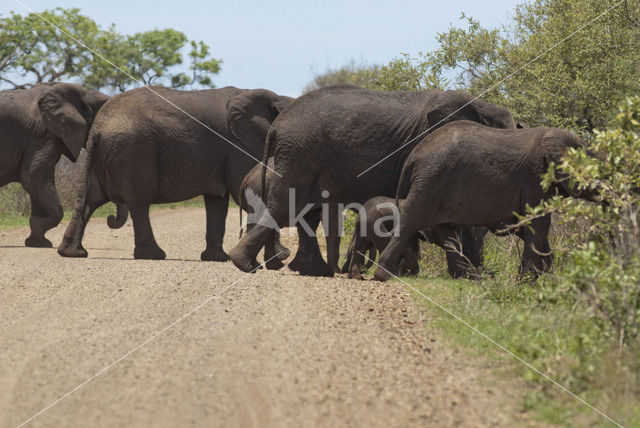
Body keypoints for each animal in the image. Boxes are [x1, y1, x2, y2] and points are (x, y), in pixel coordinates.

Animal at [57, 85, 292, 260]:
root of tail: (99, 126)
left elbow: (217, 201)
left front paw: (217, 259)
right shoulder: (238, 147)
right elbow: (249, 194)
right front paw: (280, 256)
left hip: (103, 154)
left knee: (90, 199)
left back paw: (72, 253)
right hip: (133, 150)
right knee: (138, 201)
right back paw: (152, 255)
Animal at [230, 85, 516, 276]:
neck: (481, 105)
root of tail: (277, 125)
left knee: (305, 211)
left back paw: (315, 270)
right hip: (300, 152)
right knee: (286, 205)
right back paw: (246, 265)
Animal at [376, 120, 600, 280]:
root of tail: (413, 155)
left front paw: (544, 275)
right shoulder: (536, 177)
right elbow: (538, 222)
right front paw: (526, 283)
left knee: (446, 232)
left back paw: (470, 277)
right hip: (430, 181)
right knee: (411, 220)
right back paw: (382, 275)